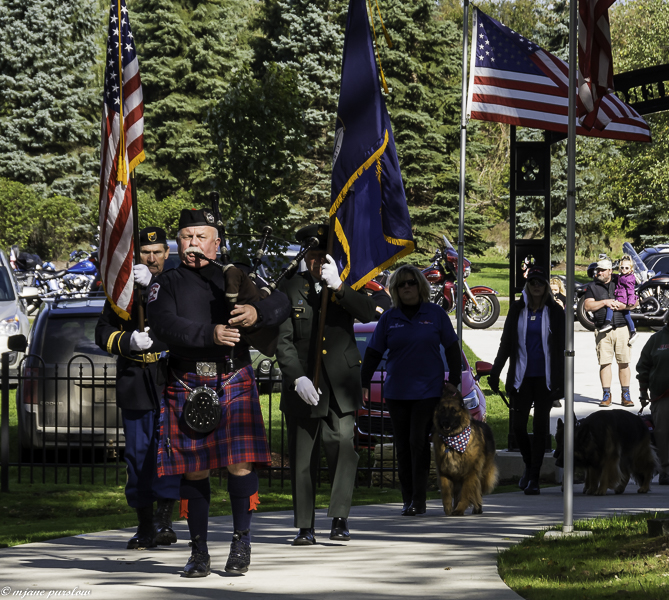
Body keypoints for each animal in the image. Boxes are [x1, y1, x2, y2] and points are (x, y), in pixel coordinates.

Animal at [430, 384, 498, 516]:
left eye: (453, 411)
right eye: (442, 410)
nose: (445, 422)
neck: (453, 439)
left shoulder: (470, 473)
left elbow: (466, 494)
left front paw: (459, 510)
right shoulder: (445, 472)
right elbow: (446, 493)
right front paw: (449, 509)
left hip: (482, 473)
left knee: (478, 491)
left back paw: (477, 508)